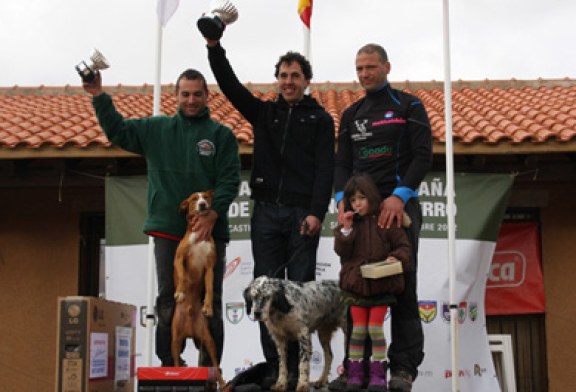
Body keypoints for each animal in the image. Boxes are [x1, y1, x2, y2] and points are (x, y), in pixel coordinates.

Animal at [169, 191, 225, 388]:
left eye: (206, 197)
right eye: (194, 199)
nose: (202, 205)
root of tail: (190, 331)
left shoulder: (209, 268)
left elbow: (208, 288)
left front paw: (207, 306)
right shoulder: (179, 260)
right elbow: (183, 277)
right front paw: (181, 291)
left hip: (208, 340)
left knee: (216, 366)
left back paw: (224, 385)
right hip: (175, 340)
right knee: (176, 362)